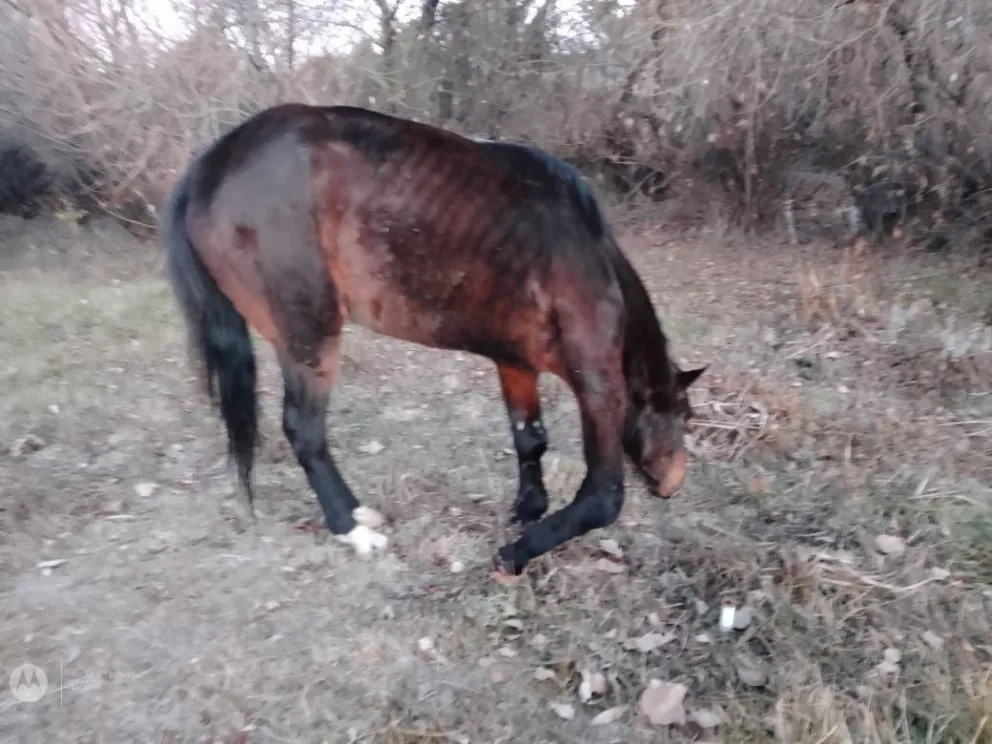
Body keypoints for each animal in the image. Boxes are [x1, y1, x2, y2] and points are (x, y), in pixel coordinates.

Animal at [161, 103, 706, 578]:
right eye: (683, 414)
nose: (674, 485)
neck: (586, 247)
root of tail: (207, 167)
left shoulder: (514, 362)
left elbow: (530, 439)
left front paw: (528, 508)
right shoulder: (597, 382)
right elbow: (602, 497)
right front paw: (516, 553)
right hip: (309, 335)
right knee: (304, 430)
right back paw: (352, 530)